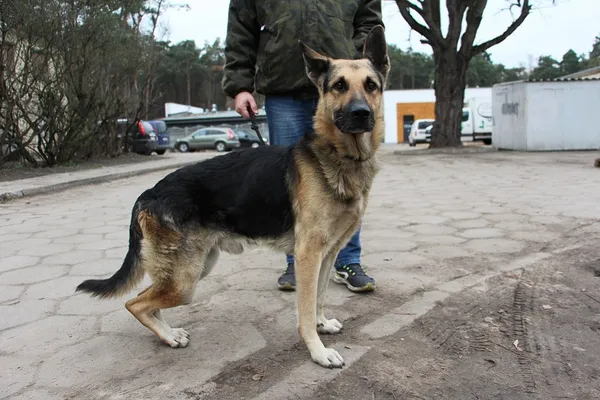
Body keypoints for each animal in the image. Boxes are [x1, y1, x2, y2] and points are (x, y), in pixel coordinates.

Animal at [75, 25, 392, 368]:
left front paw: (322, 324)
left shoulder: (328, 254)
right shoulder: (308, 255)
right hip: (185, 280)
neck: (337, 156)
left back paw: (168, 332)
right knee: (134, 303)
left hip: (196, 267)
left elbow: (319, 297)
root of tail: (149, 193)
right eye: (339, 86)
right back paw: (169, 336)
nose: (361, 114)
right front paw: (318, 351)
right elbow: (305, 309)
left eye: (371, 86)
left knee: (146, 301)